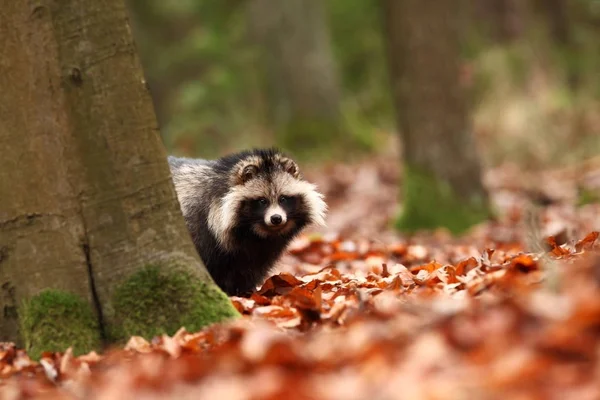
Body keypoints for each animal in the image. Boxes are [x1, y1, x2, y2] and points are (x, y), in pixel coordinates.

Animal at [168, 148, 328, 296]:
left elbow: (251, 267)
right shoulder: (202, 228)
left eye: (283, 198)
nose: (276, 218)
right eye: (262, 201)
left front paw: (245, 290)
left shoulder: (260, 249)